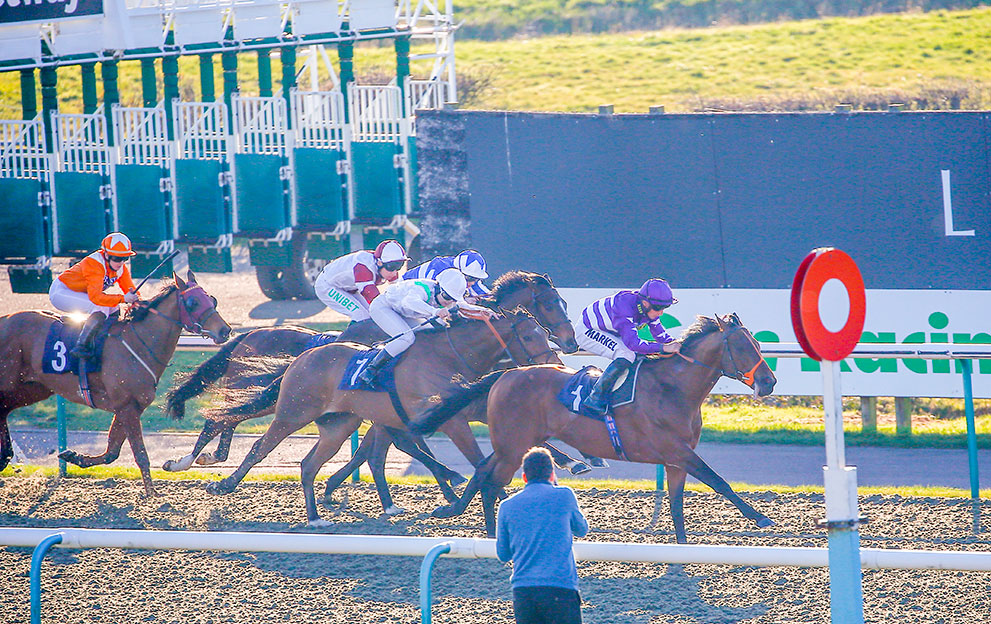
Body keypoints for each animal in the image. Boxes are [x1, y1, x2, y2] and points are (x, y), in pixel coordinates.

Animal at [0, 271, 231, 496]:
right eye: (193, 302)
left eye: (211, 299)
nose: (225, 330)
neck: (138, 344)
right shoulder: (127, 407)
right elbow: (140, 454)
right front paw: (152, 495)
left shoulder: (128, 408)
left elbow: (111, 452)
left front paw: (74, 456)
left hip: (31, 389)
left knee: (4, 411)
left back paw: (6, 455)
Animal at [202, 309, 559, 527]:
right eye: (529, 337)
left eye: (545, 333)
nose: (554, 363)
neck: (448, 356)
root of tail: (302, 358)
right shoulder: (449, 420)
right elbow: (473, 458)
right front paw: (483, 495)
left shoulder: (449, 411)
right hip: (293, 413)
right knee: (259, 446)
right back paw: (223, 484)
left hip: (339, 424)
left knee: (311, 463)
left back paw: (317, 516)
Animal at [409, 313, 777, 543]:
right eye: (743, 347)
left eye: (759, 344)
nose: (769, 382)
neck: (672, 387)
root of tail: (505, 373)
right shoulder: (678, 452)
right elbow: (720, 482)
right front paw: (761, 518)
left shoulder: (676, 460)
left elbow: (676, 504)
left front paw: (683, 547)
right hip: (513, 446)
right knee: (490, 481)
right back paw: (487, 533)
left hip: (515, 443)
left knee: (483, 469)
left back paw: (457, 511)